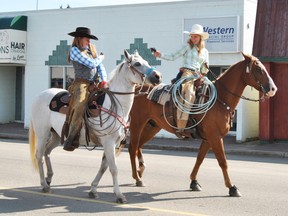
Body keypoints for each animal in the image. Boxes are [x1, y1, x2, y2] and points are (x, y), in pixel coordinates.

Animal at [127, 53, 276, 197]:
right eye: (259, 69)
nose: (273, 89)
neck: (220, 100)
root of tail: (137, 89)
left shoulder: (208, 139)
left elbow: (199, 159)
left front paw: (194, 182)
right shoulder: (215, 137)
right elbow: (223, 162)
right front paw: (232, 187)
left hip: (152, 127)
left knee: (138, 146)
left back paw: (140, 171)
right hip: (137, 124)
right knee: (132, 148)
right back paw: (137, 178)